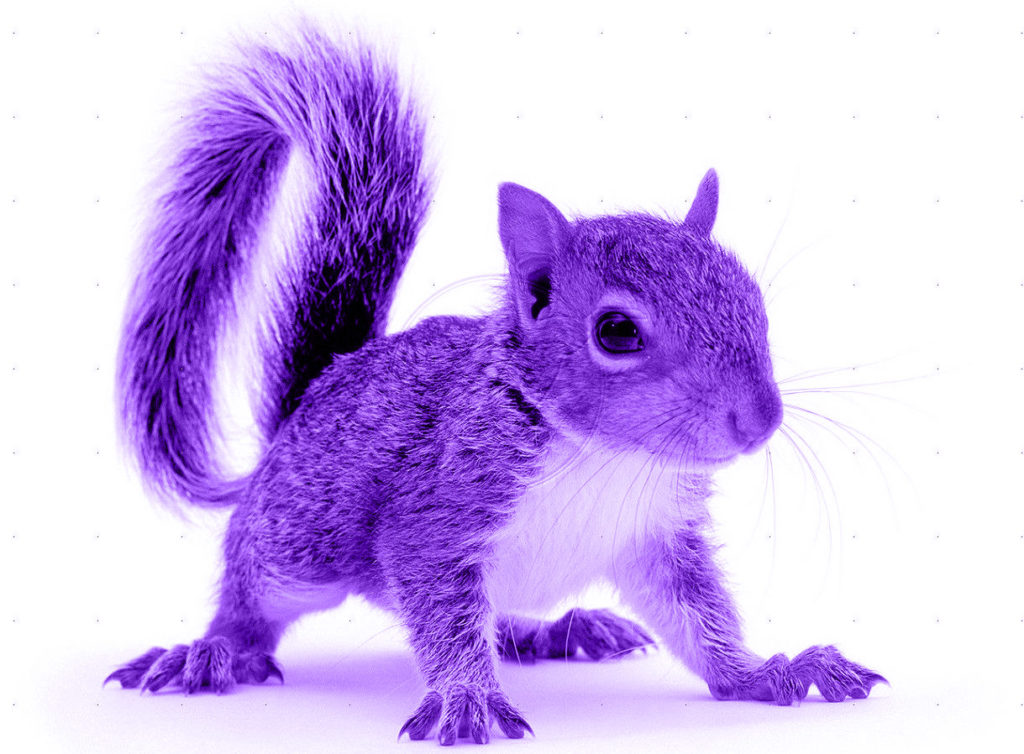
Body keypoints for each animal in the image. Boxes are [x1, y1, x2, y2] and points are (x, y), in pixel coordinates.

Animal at [105, 28, 886, 745]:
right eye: (616, 332)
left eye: (750, 297)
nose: (758, 419)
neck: (606, 456)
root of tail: (316, 393)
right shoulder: (437, 517)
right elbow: (446, 619)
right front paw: (466, 701)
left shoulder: (659, 538)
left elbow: (702, 622)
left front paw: (763, 672)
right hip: (301, 539)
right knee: (248, 595)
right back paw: (207, 653)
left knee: (500, 619)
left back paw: (559, 629)